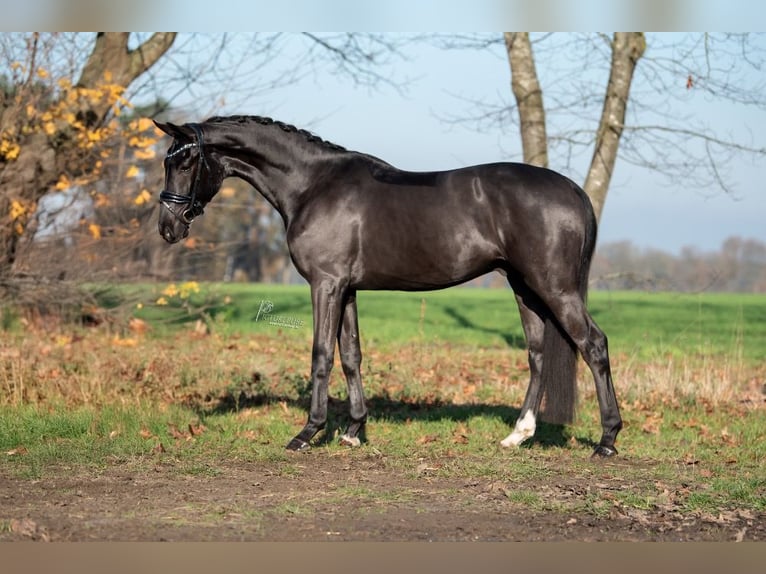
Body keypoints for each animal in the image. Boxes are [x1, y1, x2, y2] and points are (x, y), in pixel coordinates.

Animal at [154, 115, 622, 457]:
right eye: (166, 162)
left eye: (185, 163)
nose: (167, 228)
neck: (312, 185)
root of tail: (574, 191)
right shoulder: (347, 288)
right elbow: (351, 356)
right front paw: (353, 430)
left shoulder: (325, 284)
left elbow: (322, 355)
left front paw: (308, 432)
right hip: (525, 288)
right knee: (538, 354)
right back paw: (517, 435)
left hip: (555, 288)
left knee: (594, 345)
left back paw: (607, 440)